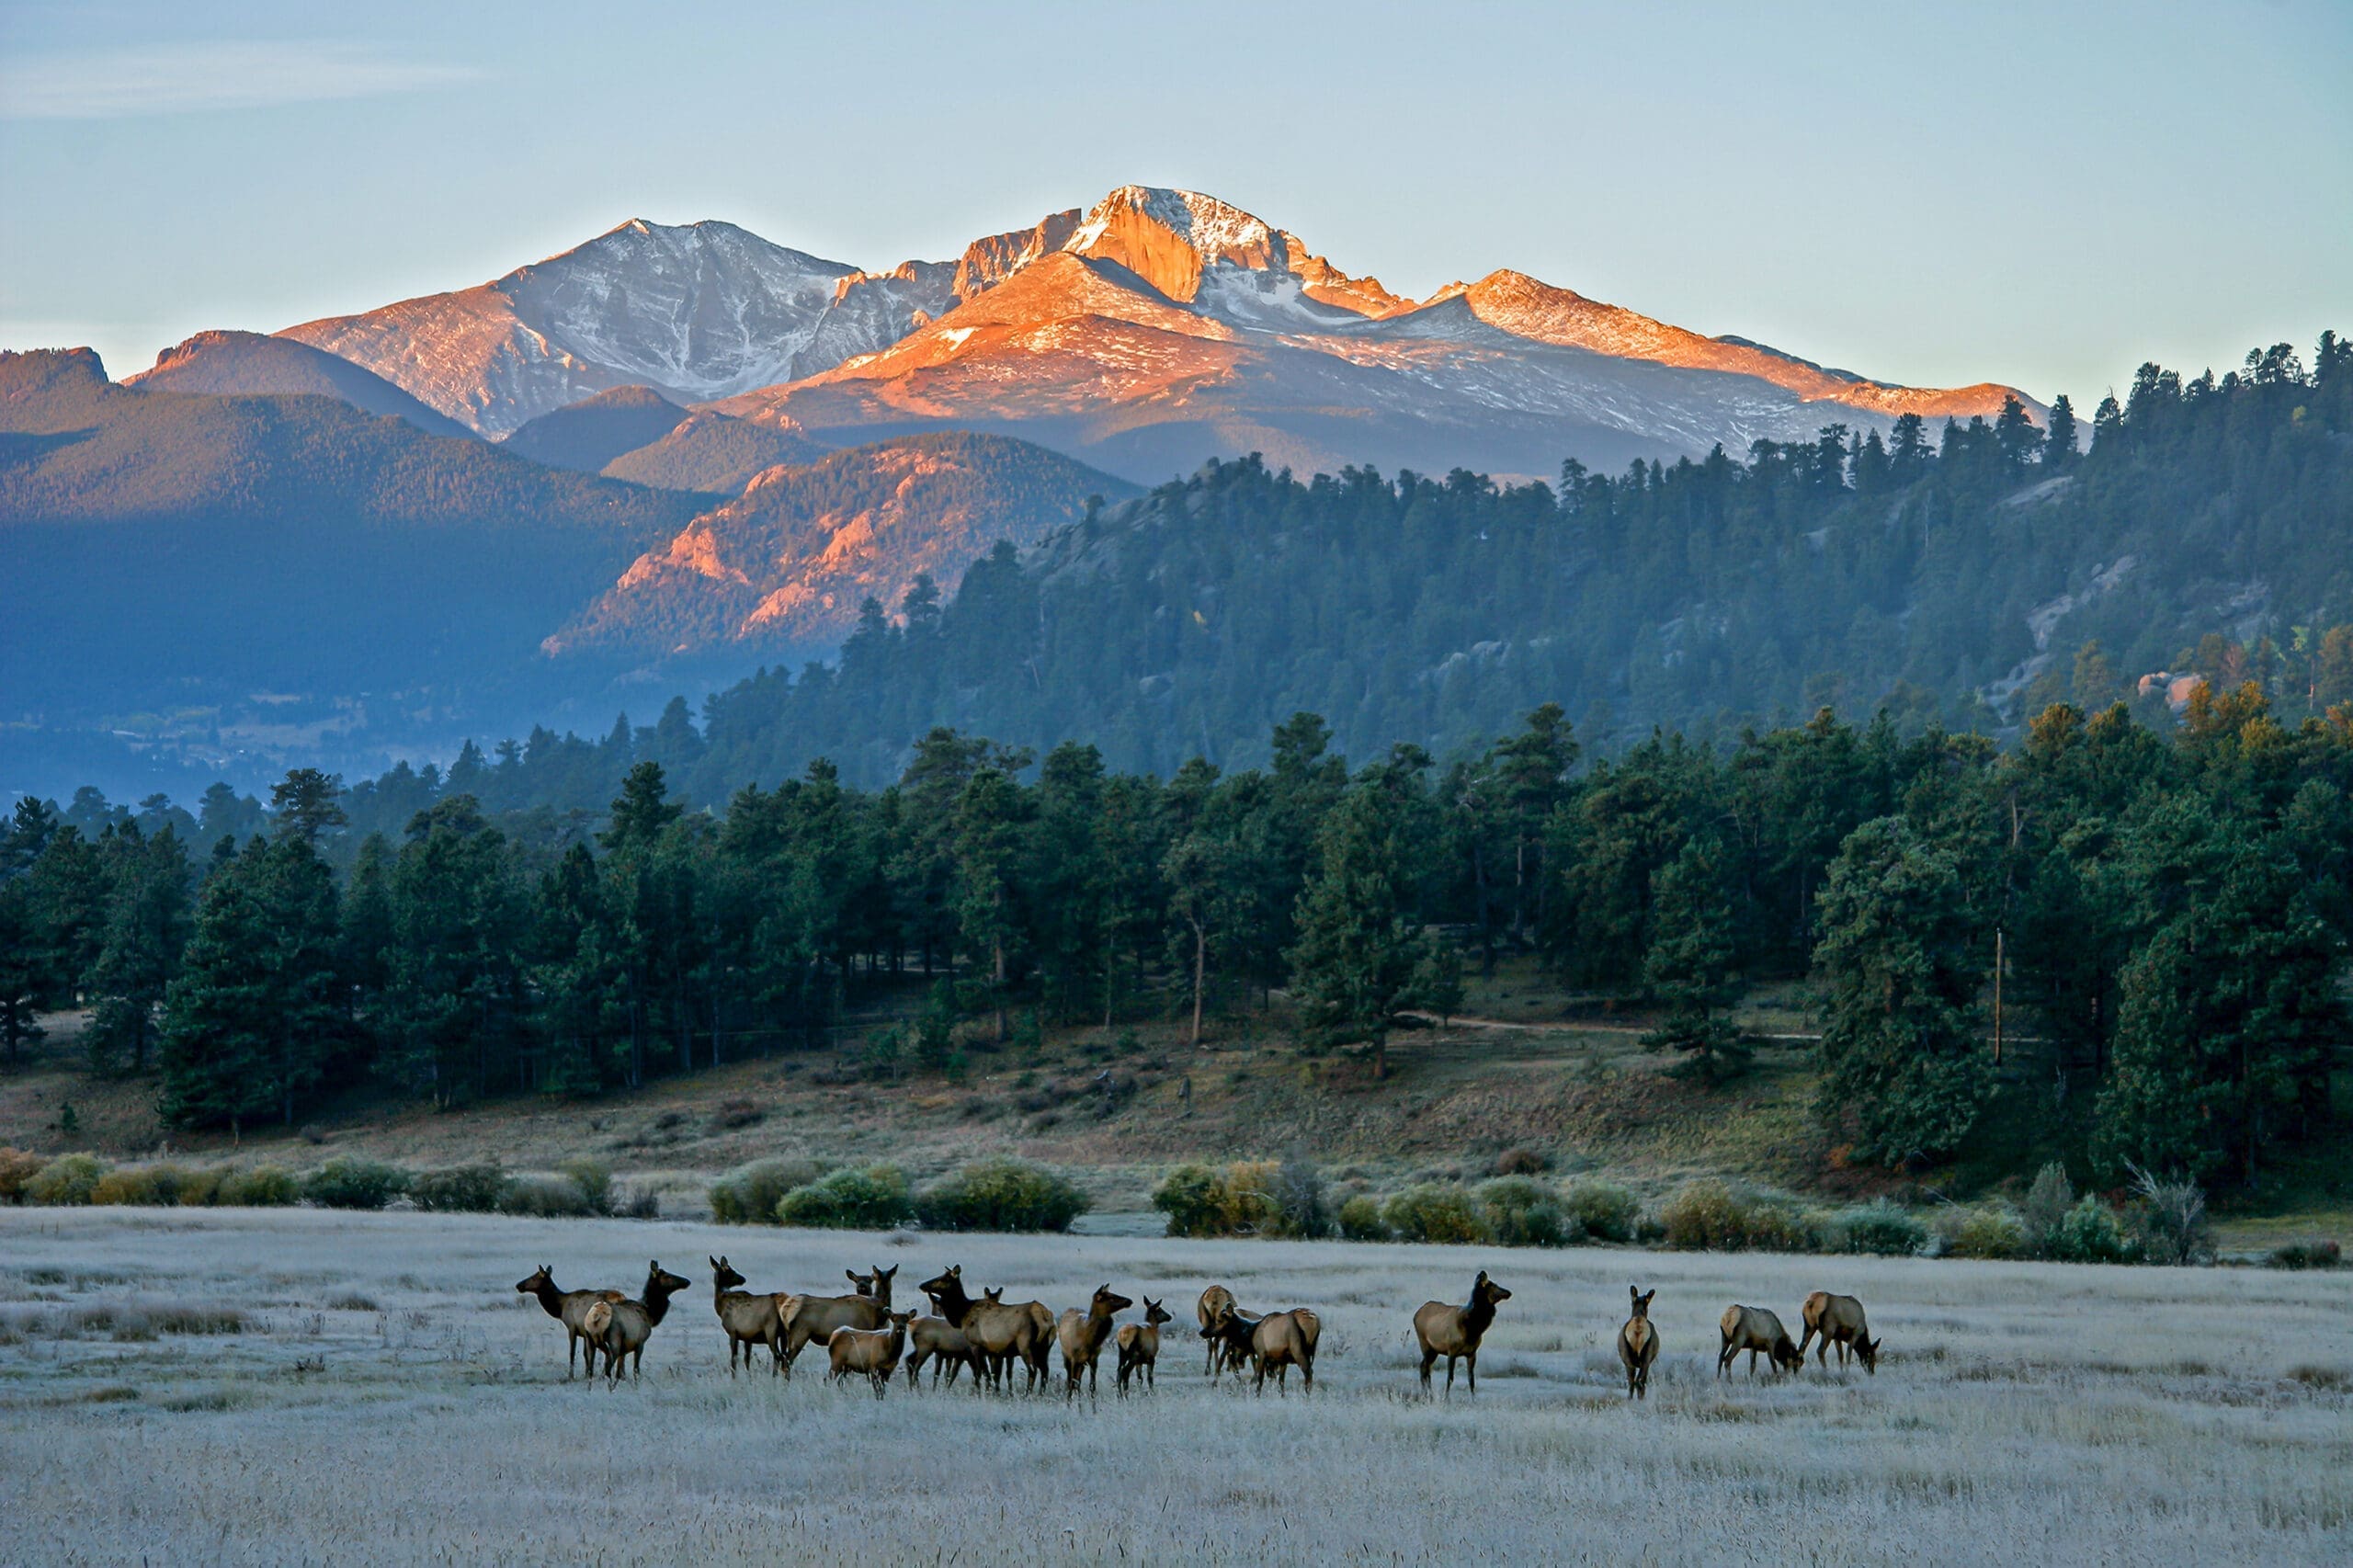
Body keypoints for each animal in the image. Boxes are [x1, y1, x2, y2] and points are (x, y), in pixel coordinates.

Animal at [580, 1261, 692, 1385]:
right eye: (668, 1276)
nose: (687, 1281)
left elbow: (620, 1373)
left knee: (590, 1369)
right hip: (614, 1341)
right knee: (607, 1369)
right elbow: (636, 1370)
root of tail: (596, 1317)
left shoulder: (623, 1349)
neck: (651, 1314)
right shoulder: (640, 1342)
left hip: (589, 1340)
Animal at [709, 1256, 786, 1375]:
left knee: (778, 1357)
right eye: (731, 1271)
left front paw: (734, 1378)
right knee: (786, 1358)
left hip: (771, 1331)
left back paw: (774, 1378)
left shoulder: (733, 1332)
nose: (743, 1279)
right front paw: (749, 1377)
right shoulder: (748, 1337)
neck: (721, 1307)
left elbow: (734, 1360)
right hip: (784, 1334)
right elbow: (747, 1360)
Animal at [1412, 1269, 1512, 1395]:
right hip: (1425, 1344)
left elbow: (1471, 1380)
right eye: (1493, 1285)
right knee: (1425, 1368)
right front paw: (1446, 1398)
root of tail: (1417, 1313)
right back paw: (1428, 1394)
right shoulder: (1451, 1351)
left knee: (1424, 1367)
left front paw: (1474, 1399)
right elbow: (1450, 1378)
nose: (1509, 1292)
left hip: (1434, 1350)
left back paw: (1427, 1394)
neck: (1472, 1330)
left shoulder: (1472, 1353)